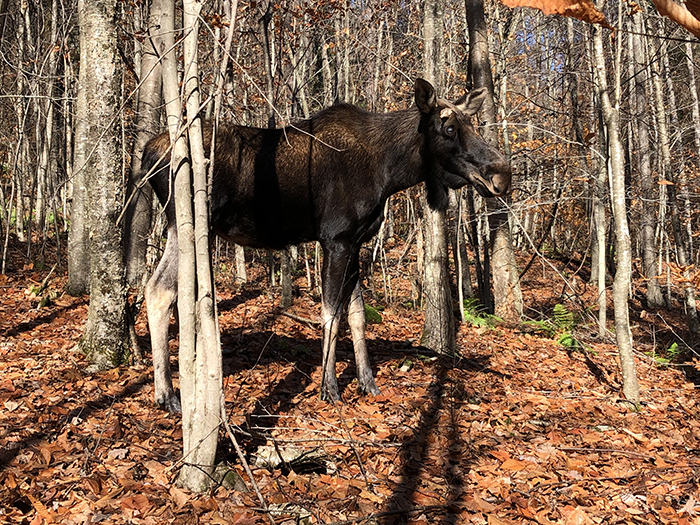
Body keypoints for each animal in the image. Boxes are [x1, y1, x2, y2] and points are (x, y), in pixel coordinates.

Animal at [139, 75, 512, 410]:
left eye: (471, 123)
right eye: (448, 128)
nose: (501, 174)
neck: (391, 172)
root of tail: (145, 153)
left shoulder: (356, 242)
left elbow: (357, 315)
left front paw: (368, 383)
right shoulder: (336, 239)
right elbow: (331, 314)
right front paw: (329, 388)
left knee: (158, 288)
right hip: (186, 221)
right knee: (159, 289)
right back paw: (167, 394)